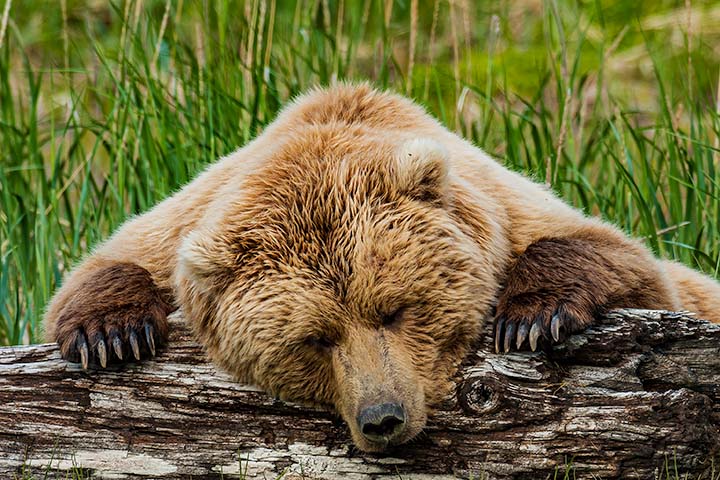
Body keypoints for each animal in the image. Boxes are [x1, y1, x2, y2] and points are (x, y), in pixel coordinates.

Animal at [43, 83, 720, 454]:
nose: (383, 418)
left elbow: (620, 256)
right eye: (314, 339)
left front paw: (534, 316)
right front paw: (111, 334)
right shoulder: (182, 225)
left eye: (394, 310)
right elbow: (106, 264)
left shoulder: (506, 207)